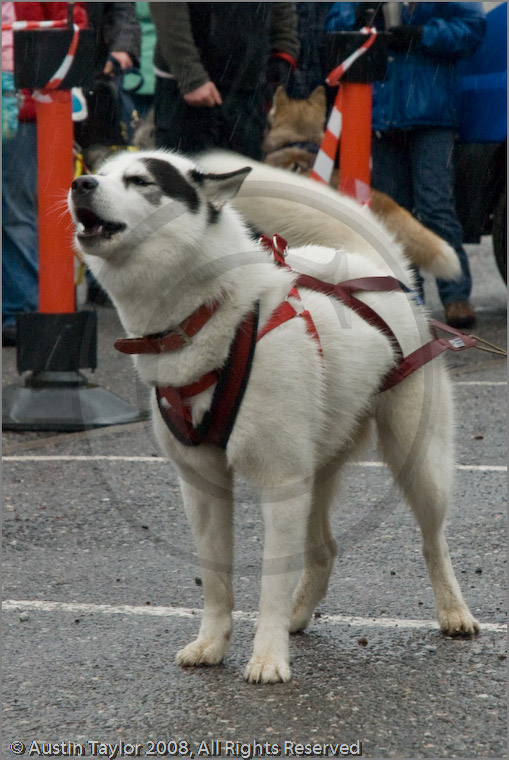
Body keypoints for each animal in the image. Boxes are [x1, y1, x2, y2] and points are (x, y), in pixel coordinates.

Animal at [69, 148, 478, 684]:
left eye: (139, 180)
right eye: (100, 170)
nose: (79, 184)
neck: (208, 314)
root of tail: (374, 266)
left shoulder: (280, 484)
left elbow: (269, 584)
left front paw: (267, 657)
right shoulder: (203, 487)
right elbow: (217, 581)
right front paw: (213, 644)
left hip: (417, 462)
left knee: (434, 542)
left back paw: (454, 612)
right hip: (316, 472)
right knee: (324, 550)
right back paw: (300, 615)